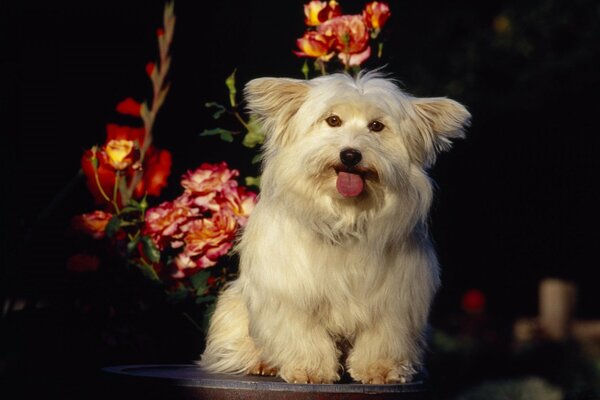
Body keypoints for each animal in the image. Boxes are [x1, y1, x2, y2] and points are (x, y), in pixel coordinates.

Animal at [199, 72, 472, 384]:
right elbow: (301, 333)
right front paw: (309, 368)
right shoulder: (291, 294)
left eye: (376, 126)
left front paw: (379, 368)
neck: (345, 216)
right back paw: (262, 362)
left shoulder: (394, 301)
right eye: (332, 120)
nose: (351, 155)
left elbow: (383, 336)